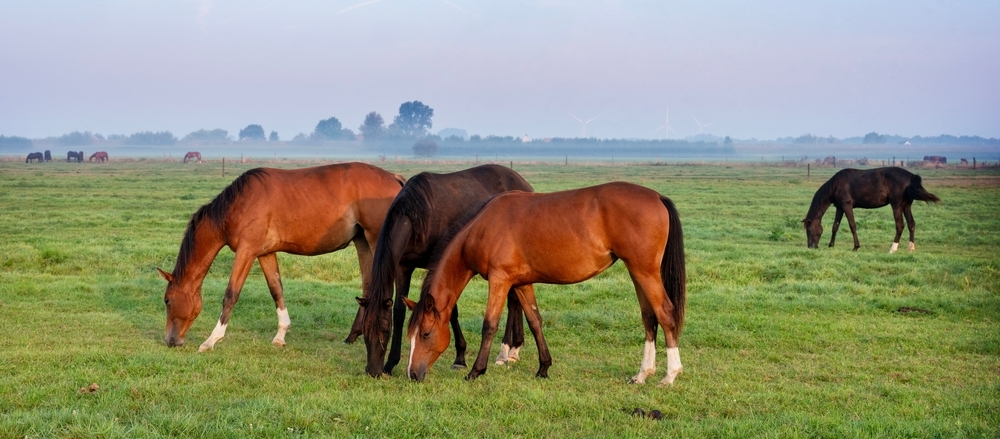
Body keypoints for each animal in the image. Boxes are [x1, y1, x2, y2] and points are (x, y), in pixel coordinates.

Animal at [156, 162, 405, 351]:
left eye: (167, 300)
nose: (171, 340)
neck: (238, 204)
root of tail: (394, 178)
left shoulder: (247, 251)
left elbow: (231, 294)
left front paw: (211, 340)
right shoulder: (265, 253)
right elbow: (276, 289)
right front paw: (281, 335)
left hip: (375, 241)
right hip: (362, 242)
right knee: (368, 285)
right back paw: (353, 335)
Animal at [357, 164, 534, 377]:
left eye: (385, 332)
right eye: (364, 333)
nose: (372, 370)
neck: (417, 216)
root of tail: (523, 182)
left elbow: (451, 312)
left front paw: (460, 358)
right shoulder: (403, 267)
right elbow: (399, 312)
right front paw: (391, 363)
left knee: (513, 301)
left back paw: (507, 350)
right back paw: (513, 348)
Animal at [405, 182, 686, 387]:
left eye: (426, 333)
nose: (412, 374)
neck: (482, 227)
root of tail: (657, 196)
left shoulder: (499, 280)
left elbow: (489, 325)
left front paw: (475, 371)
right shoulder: (521, 283)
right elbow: (535, 321)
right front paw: (543, 367)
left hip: (645, 272)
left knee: (665, 314)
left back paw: (670, 375)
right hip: (636, 272)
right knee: (649, 318)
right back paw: (642, 374)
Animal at [803, 167, 940, 253]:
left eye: (809, 230)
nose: (810, 247)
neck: (836, 184)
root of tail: (911, 176)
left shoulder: (847, 206)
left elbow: (852, 226)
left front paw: (856, 247)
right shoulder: (840, 208)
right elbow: (835, 226)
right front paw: (831, 245)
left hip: (896, 206)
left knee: (900, 225)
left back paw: (892, 249)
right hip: (906, 206)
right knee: (911, 224)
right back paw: (911, 248)